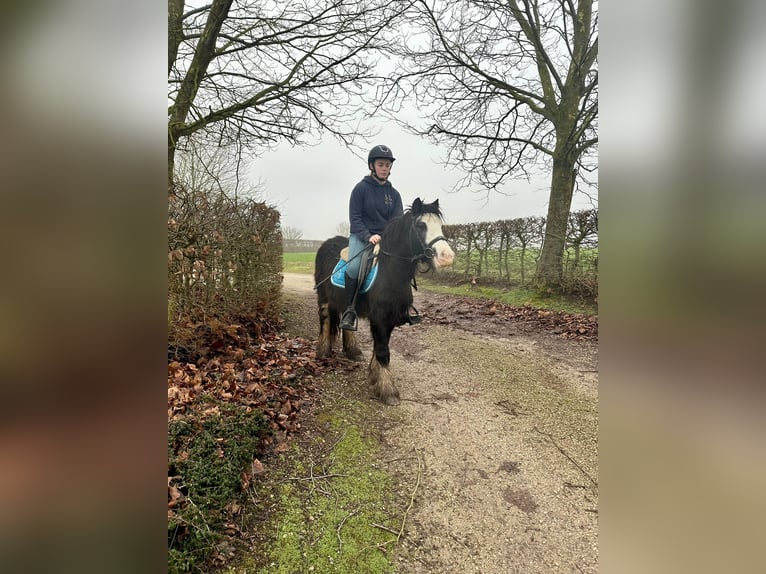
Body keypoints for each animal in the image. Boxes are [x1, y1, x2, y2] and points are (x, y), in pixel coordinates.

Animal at [316, 200, 456, 408]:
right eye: (421, 225)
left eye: (440, 226)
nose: (447, 257)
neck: (390, 272)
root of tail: (326, 243)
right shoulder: (380, 318)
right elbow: (383, 351)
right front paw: (388, 390)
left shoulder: (389, 318)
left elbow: (380, 346)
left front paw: (375, 376)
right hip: (324, 298)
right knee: (325, 321)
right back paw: (323, 351)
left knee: (346, 323)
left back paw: (353, 351)